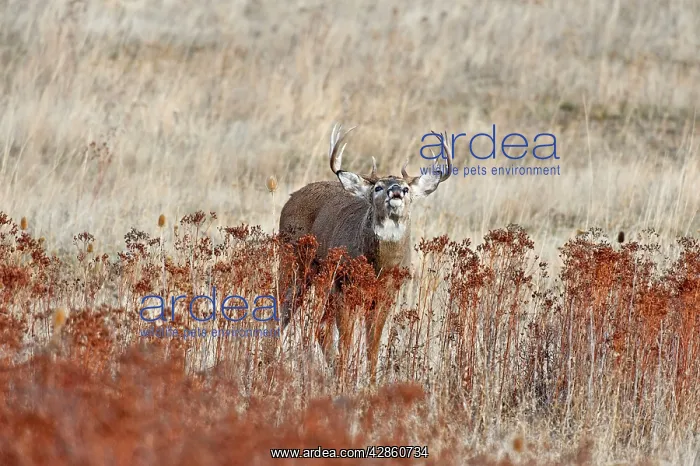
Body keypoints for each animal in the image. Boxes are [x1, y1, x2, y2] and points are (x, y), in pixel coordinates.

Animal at [276, 123, 453, 382]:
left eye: (407, 188)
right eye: (378, 187)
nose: (396, 190)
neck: (378, 267)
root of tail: (291, 198)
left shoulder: (386, 294)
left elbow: (373, 343)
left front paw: (369, 381)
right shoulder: (345, 286)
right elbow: (347, 340)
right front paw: (344, 380)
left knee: (320, 327)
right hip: (294, 262)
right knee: (282, 312)